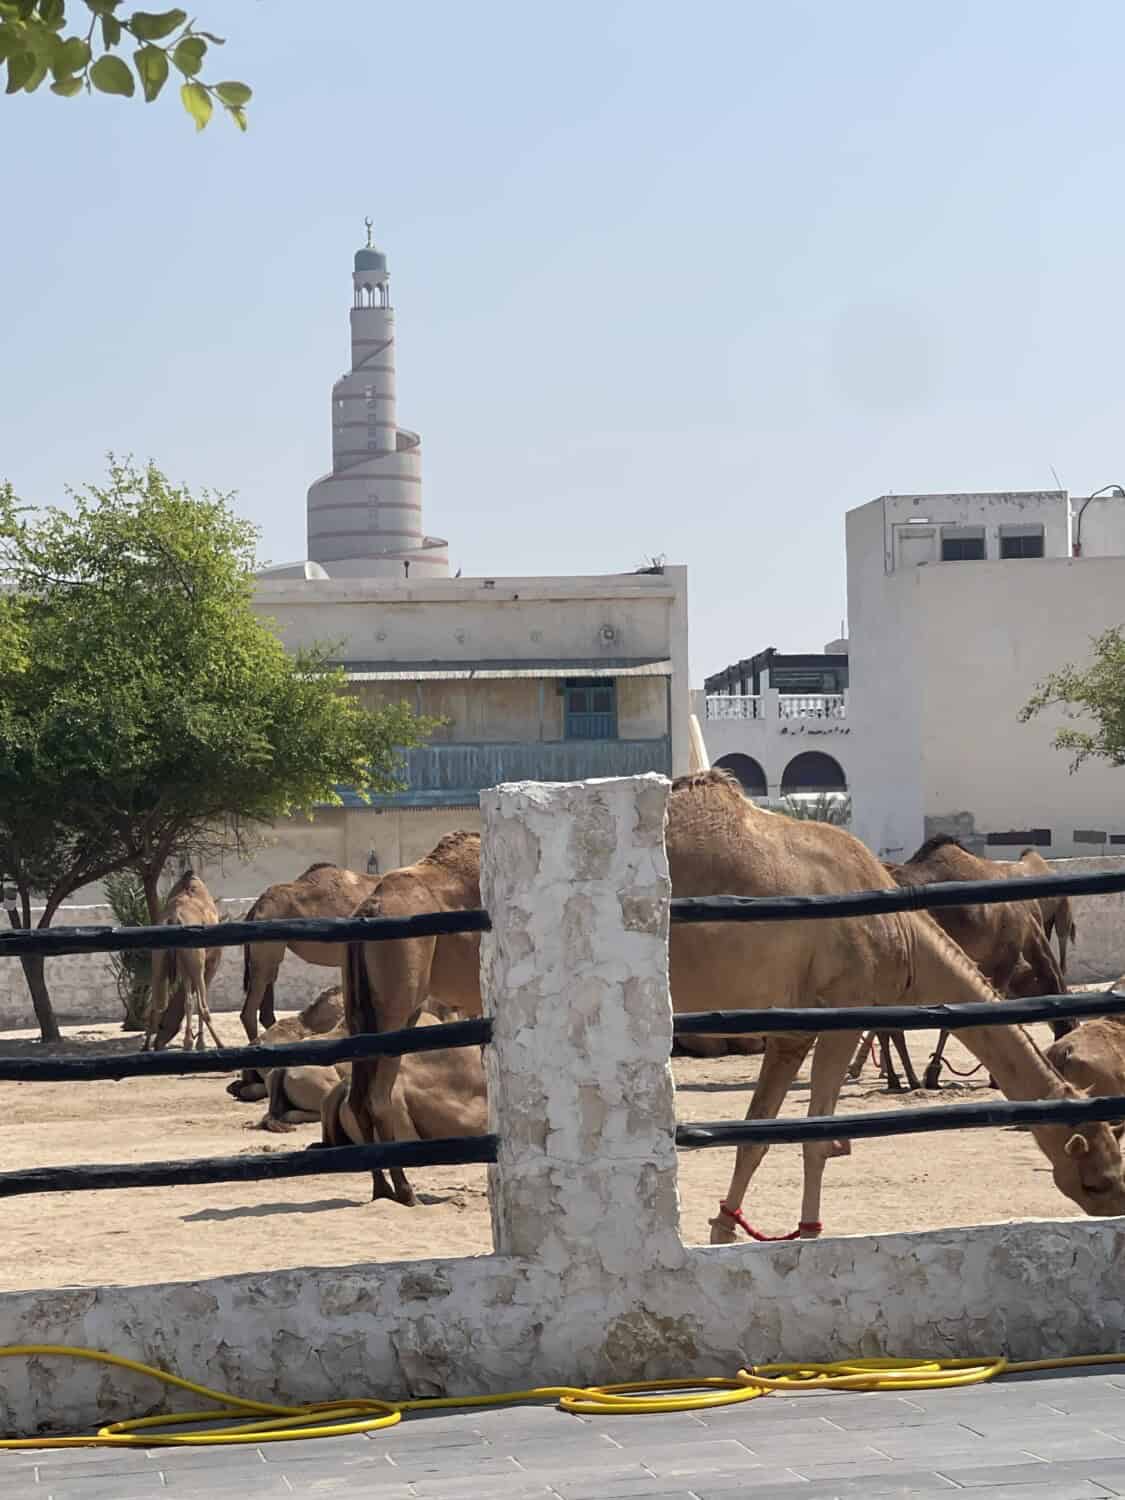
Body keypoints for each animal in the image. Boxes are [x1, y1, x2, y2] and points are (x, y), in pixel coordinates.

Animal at [144, 871, 224, 1052]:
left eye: (163, 1026)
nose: (158, 1043)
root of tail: (173, 918)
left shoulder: (184, 966)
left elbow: (188, 1000)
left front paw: (189, 1042)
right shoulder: (210, 963)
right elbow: (198, 1002)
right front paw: (198, 1043)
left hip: (159, 959)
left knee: (156, 1003)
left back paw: (145, 1048)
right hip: (197, 962)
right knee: (203, 1006)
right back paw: (219, 1044)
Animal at [342, 778, 1125, 1230]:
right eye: (1098, 1169)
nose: (1113, 1204)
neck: (899, 931)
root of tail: (367, 903)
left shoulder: (788, 1031)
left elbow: (757, 1134)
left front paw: (724, 1229)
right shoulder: (837, 1014)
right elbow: (813, 1136)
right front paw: (805, 1235)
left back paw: (393, 1187)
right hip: (402, 993)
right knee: (378, 1089)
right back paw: (405, 1190)